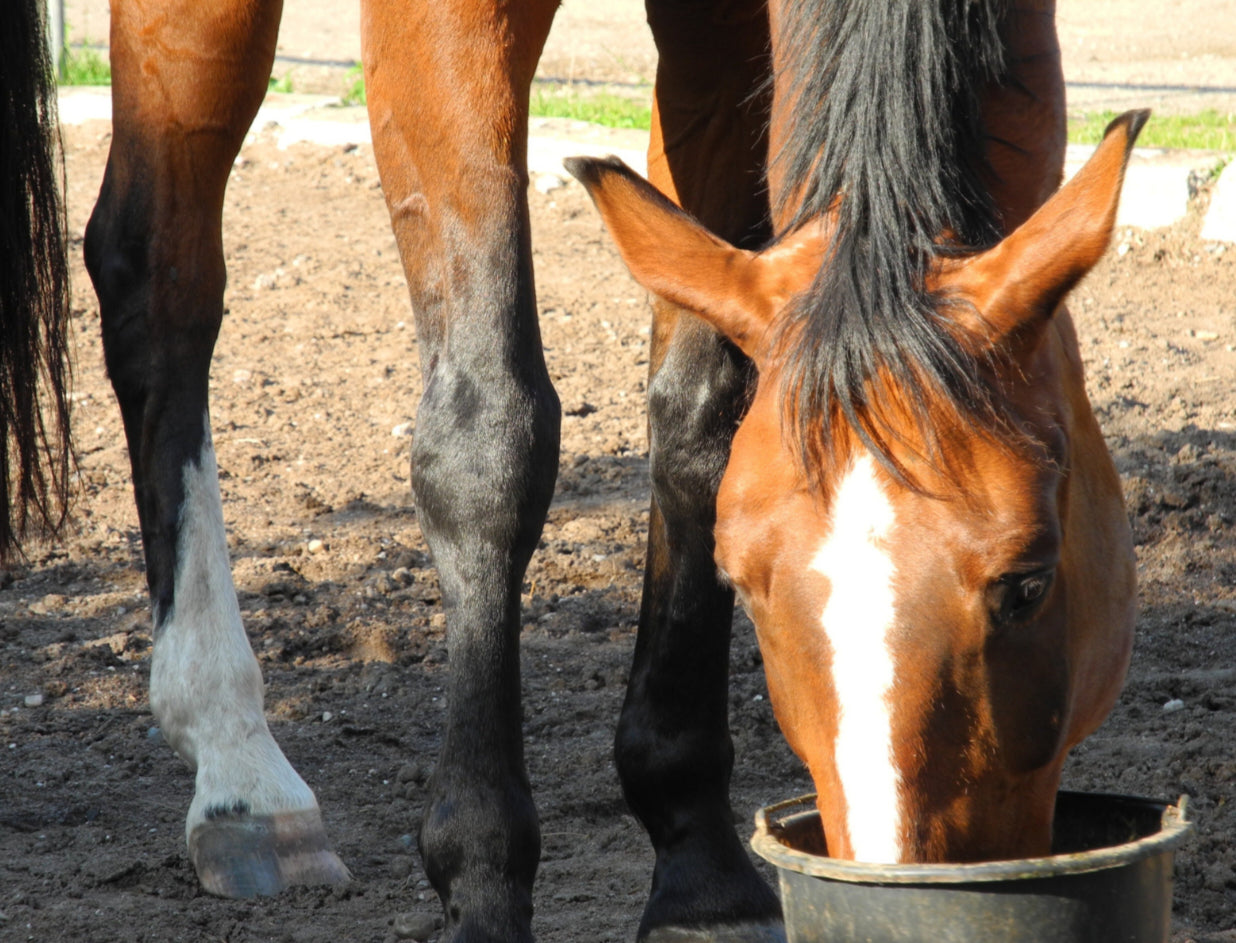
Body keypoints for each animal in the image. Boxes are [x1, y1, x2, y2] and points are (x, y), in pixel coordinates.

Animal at [78, 0, 1143, 940]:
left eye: (1029, 583)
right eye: (749, 586)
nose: (895, 888)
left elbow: (702, 417)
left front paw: (703, 874)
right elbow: (489, 438)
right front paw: (483, 887)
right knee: (158, 276)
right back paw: (238, 769)